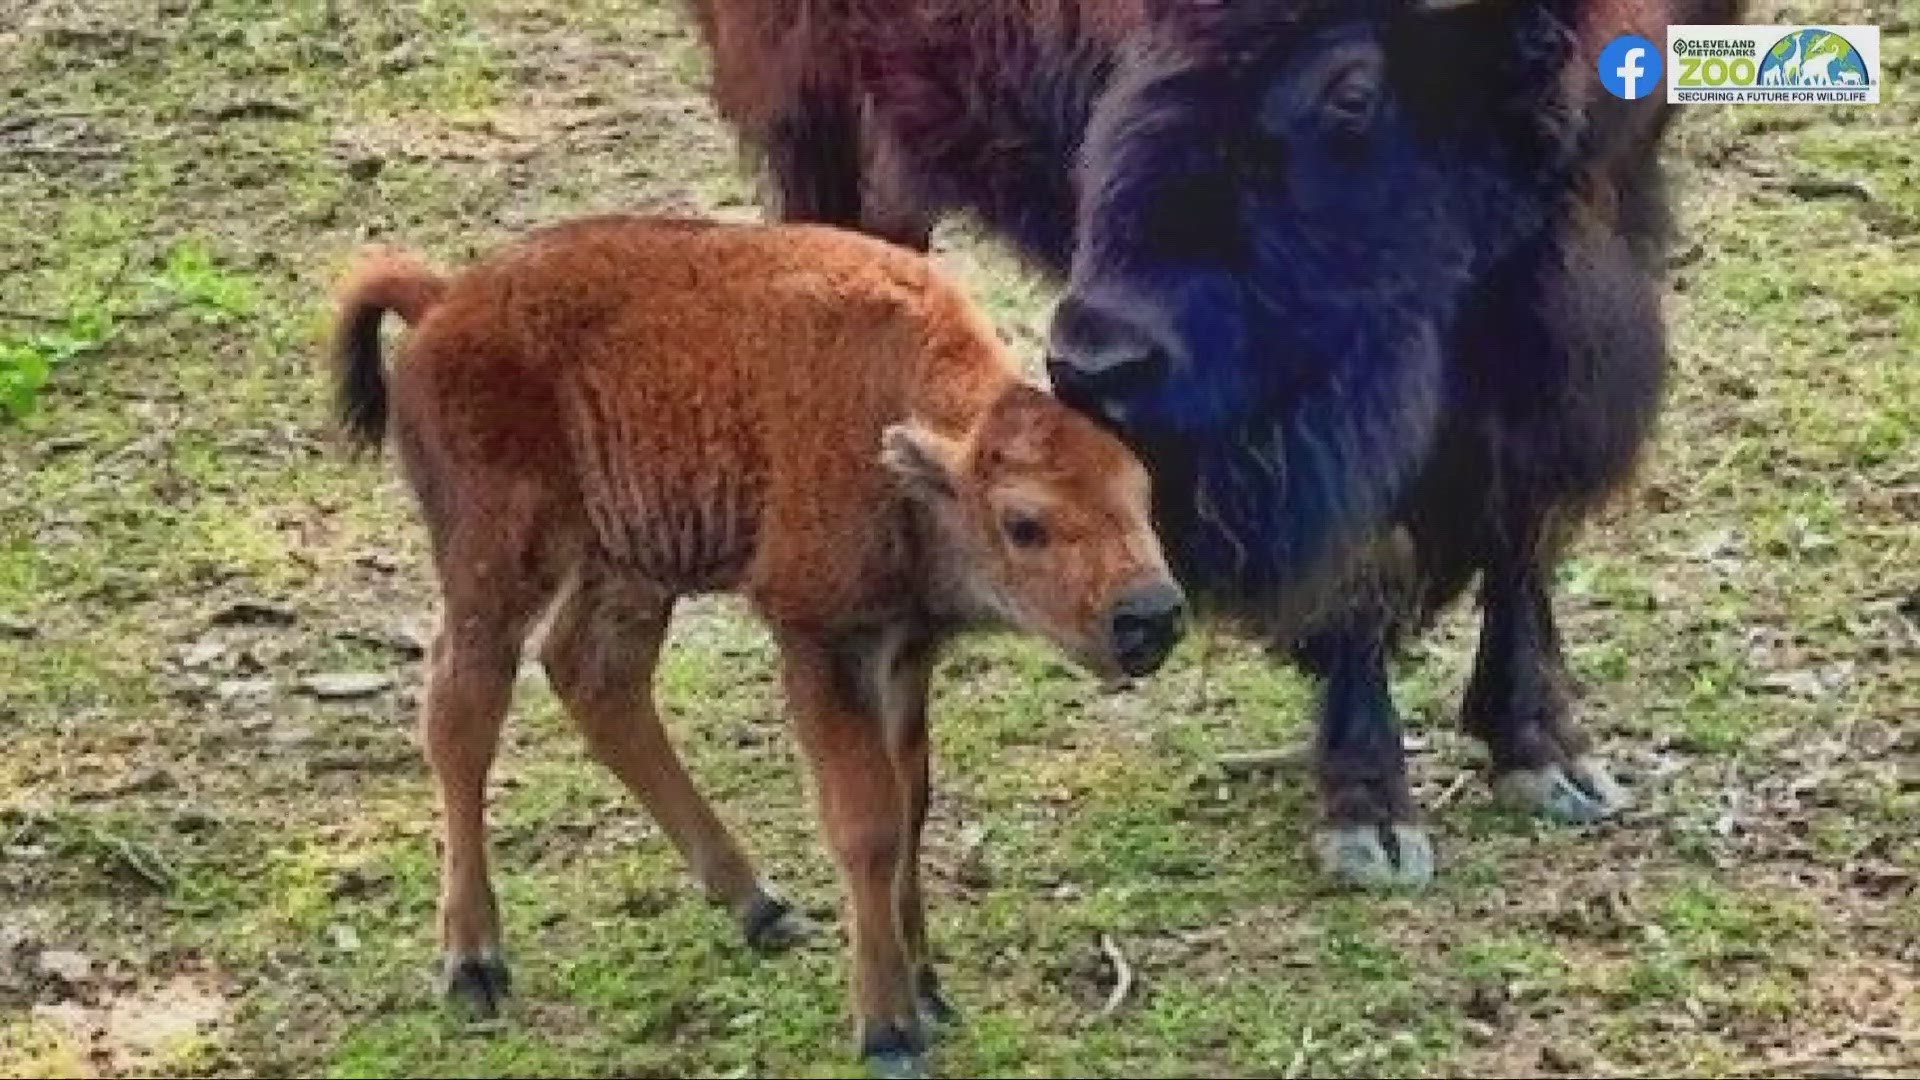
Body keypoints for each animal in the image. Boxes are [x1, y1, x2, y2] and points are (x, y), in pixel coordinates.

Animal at [326, 212, 1182, 1068]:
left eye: (1143, 494)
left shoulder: (904, 651)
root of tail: (444, 299)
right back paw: (474, 964)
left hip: (634, 563)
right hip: (497, 563)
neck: (897, 424)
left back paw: (761, 906)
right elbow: (868, 824)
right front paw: (889, 1030)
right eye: (1025, 523)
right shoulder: (820, 639)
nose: (1152, 615)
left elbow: (911, 808)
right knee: (462, 717)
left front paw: (928, 990)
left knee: (596, 679)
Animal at [683, 0, 1751, 883]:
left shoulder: (1584, 260)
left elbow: (1524, 518)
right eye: (1139, 39)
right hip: (819, 117)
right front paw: (1369, 818)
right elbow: (1361, 564)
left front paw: (1545, 754)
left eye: (1350, 86)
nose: (1096, 358)